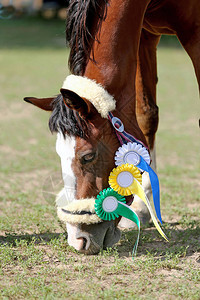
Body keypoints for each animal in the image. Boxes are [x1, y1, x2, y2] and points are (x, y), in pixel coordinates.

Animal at [24, 0, 199, 254]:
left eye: (88, 156)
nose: (79, 240)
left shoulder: (195, 35)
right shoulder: (143, 36)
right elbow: (146, 115)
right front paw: (142, 208)